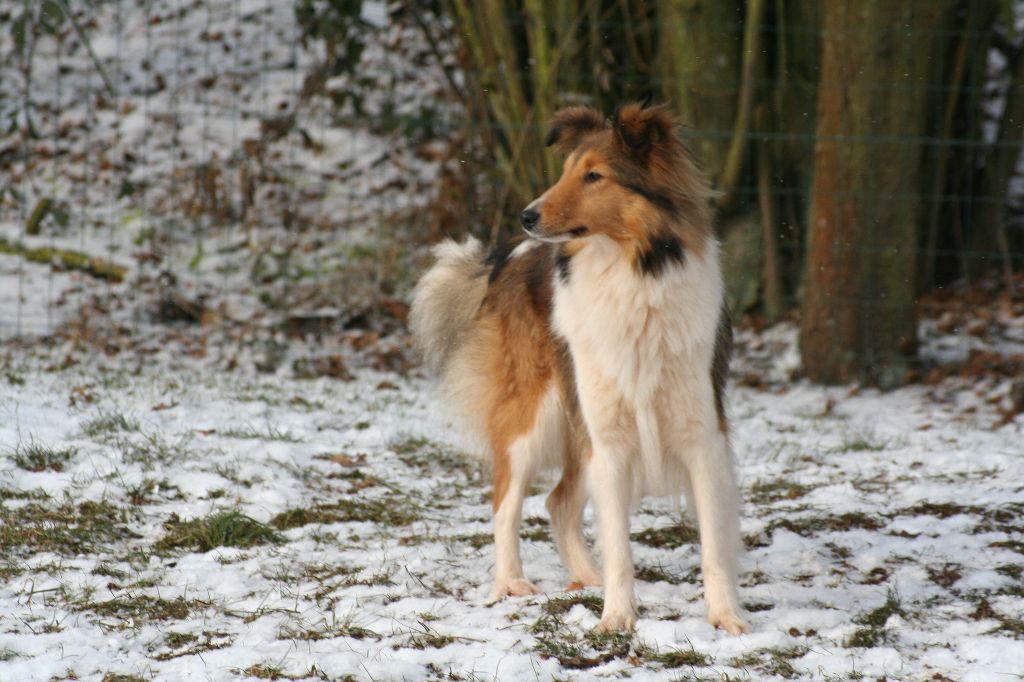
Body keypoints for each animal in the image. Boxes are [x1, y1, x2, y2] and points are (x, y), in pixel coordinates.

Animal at [411, 100, 749, 630]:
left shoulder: (702, 436)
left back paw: (586, 575)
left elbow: (713, 543)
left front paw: (725, 619)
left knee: (557, 501)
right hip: (536, 417)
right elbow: (619, 546)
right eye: (567, 170)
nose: (527, 215)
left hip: (574, 428)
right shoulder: (607, 440)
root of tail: (507, 254)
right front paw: (616, 620)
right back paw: (511, 583)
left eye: (594, 176)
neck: (631, 274)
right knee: (505, 502)